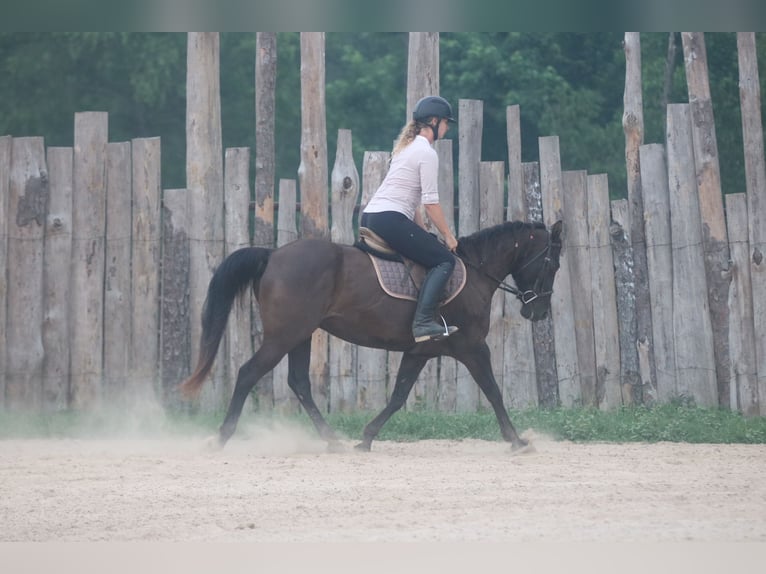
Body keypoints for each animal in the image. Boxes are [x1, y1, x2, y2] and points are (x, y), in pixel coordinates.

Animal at [180, 219, 563, 453]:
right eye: (553, 264)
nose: (538, 312)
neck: (475, 274)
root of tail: (272, 254)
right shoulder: (473, 347)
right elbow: (494, 391)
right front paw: (517, 441)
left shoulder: (420, 352)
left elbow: (398, 396)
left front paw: (365, 439)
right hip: (283, 336)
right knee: (248, 373)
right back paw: (222, 437)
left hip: (300, 335)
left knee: (298, 382)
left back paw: (332, 440)